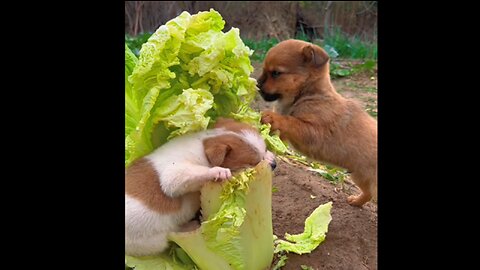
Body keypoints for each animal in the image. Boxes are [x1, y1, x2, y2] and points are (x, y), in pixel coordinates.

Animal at [124, 118, 274, 258]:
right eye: (254, 163)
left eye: (266, 149)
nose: (274, 164)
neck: (204, 144)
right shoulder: (173, 176)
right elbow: (196, 172)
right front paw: (218, 171)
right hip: (150, 242)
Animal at [256, 38, 376, 207]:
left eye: (276, 73)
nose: (257, 84)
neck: (307, 94)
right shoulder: (284, 135)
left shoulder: (314, 133)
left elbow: (291, 122)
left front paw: (272, 117)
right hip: (360, 175)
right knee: (367, 193)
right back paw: (356, 201)